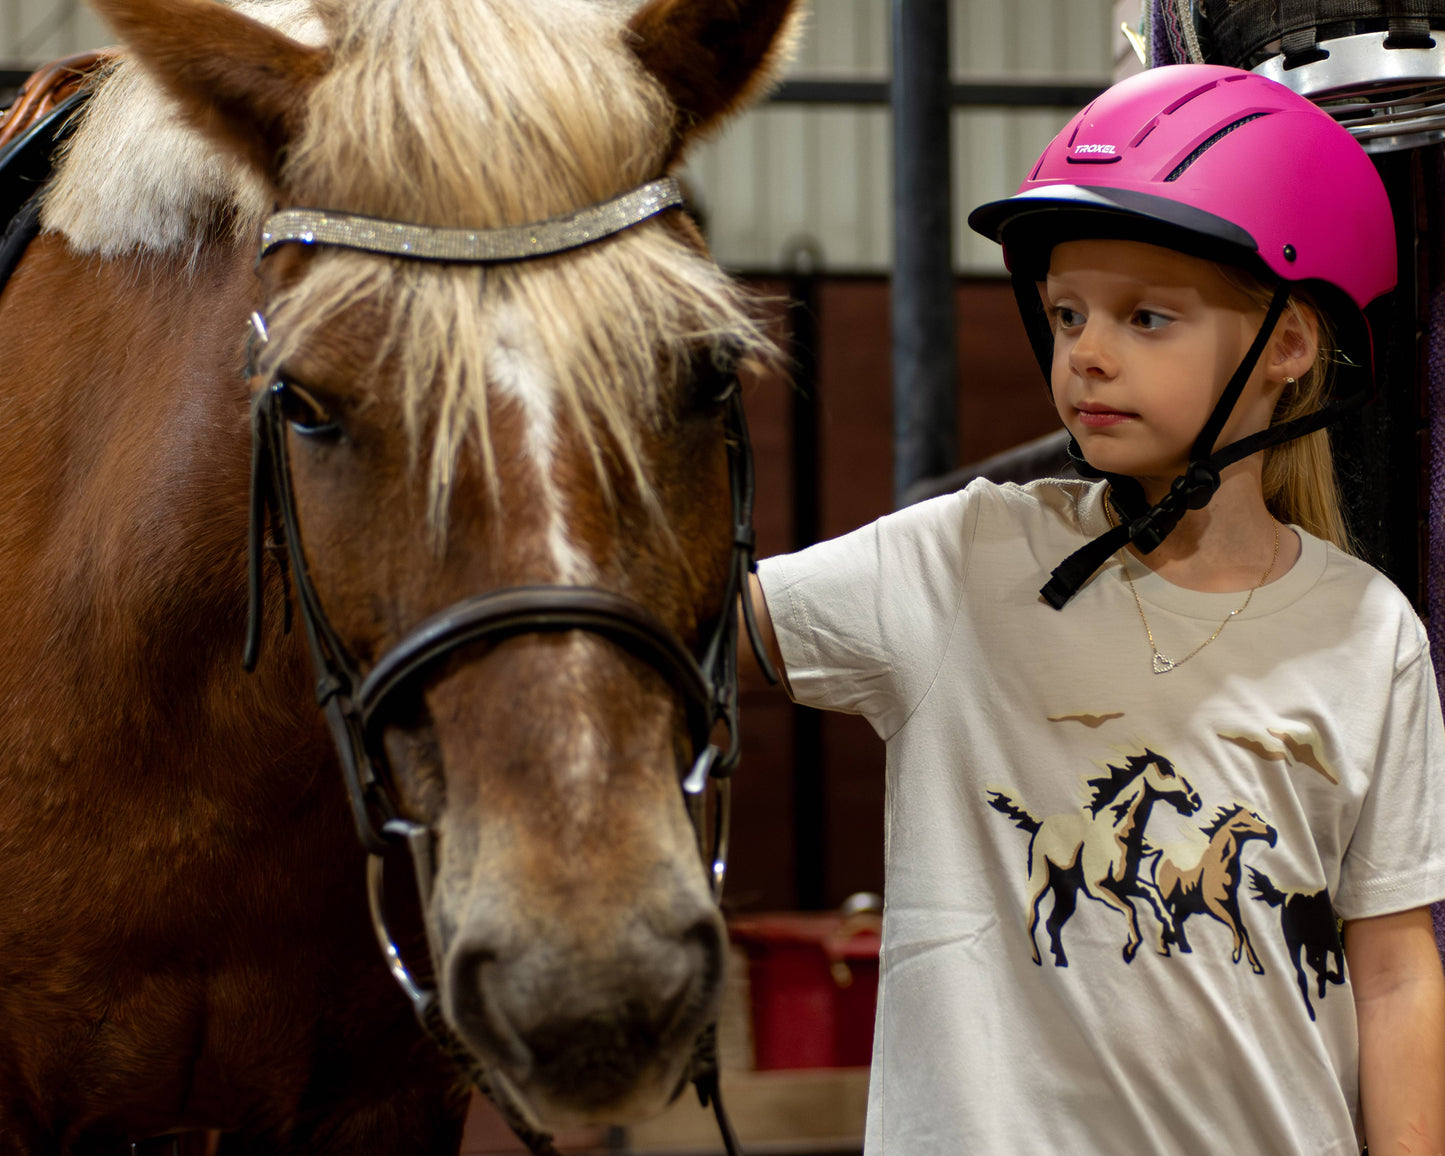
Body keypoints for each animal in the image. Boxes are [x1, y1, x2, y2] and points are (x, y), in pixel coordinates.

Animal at [987, 749, 1203, 967]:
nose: (1195, 801)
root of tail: (1038, 824)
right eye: (1165, 769)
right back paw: (1038, 958)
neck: (1118, 833)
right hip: (1039, 880)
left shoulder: (1127, 883)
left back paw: (1061, 960)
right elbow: (1131, 908)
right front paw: (1130, 948)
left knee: (1052, 923)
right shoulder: (1096, 888)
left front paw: (1171, 936)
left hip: (1066, 893)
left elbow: (1154, 896)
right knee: (1032, 918)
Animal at [1152, 803, 1278, 975]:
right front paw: (1236, 954)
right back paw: (1165, 949)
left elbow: (1242, 928)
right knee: (1165, 918)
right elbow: (1235, 927)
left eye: (1256, 815)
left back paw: (1183, 948)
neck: (1220, 865)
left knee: (1175, 920)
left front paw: (1255, 964)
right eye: (1241, 824)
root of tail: (1161, 853)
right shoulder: (1212, 904)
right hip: (1167, 897)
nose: (1272, 835)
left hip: (1183, 905)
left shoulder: (1231, 901)